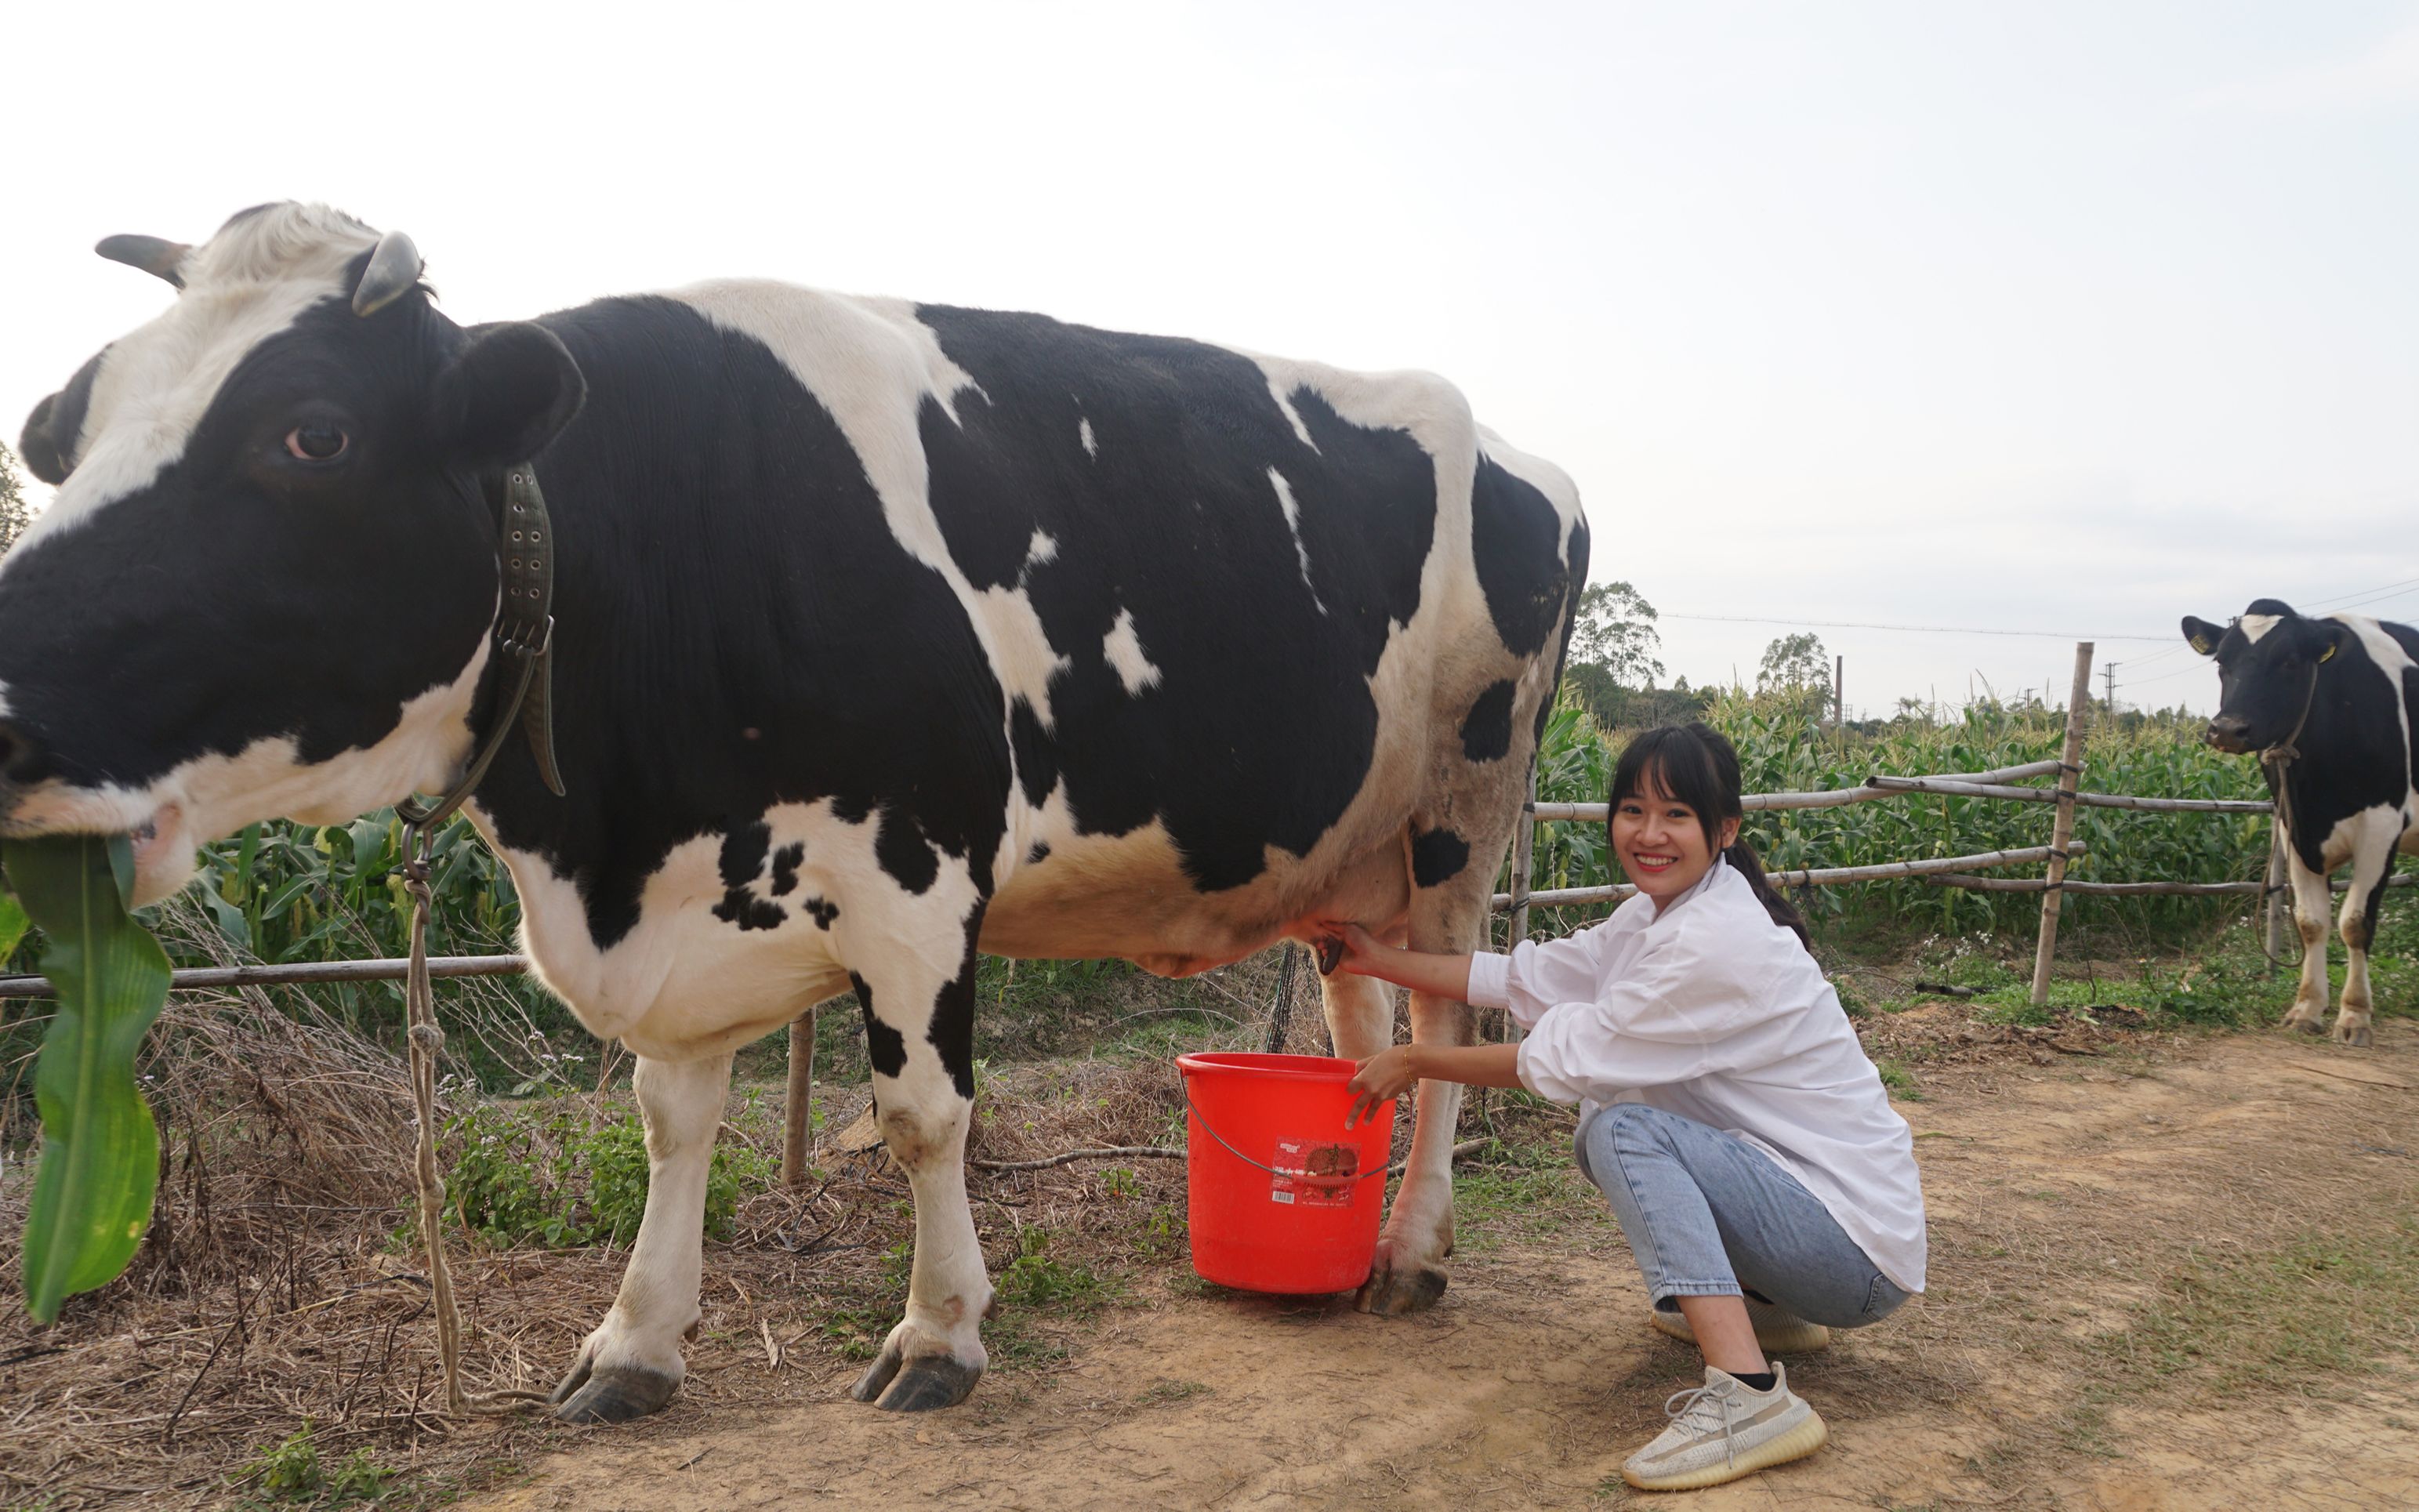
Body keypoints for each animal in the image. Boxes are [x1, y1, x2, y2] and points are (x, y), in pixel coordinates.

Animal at [0, 206, 1587, 1422]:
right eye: (66, 432)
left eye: (313, 433)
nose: (8, 710)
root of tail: (1527, 456)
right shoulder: (675, 908)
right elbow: (669, 1120)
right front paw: (633, 1342)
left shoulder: (918, 876)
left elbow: (922, 1115)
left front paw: (938, 1332)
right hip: (1345, 858)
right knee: (1363, 1025)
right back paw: (1356, 1231)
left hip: (1463, 816)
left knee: (1446, 1023)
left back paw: (1413, 1253)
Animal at [2186, 595, 2409, 1045]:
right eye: (2221, 661)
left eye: (2289, 661)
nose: (2227, 729)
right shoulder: (2294, 826)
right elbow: (2310, 922)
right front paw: (2307, 1008)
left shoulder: (2382, 826)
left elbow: (2356, 923)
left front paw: (2355, 1015)